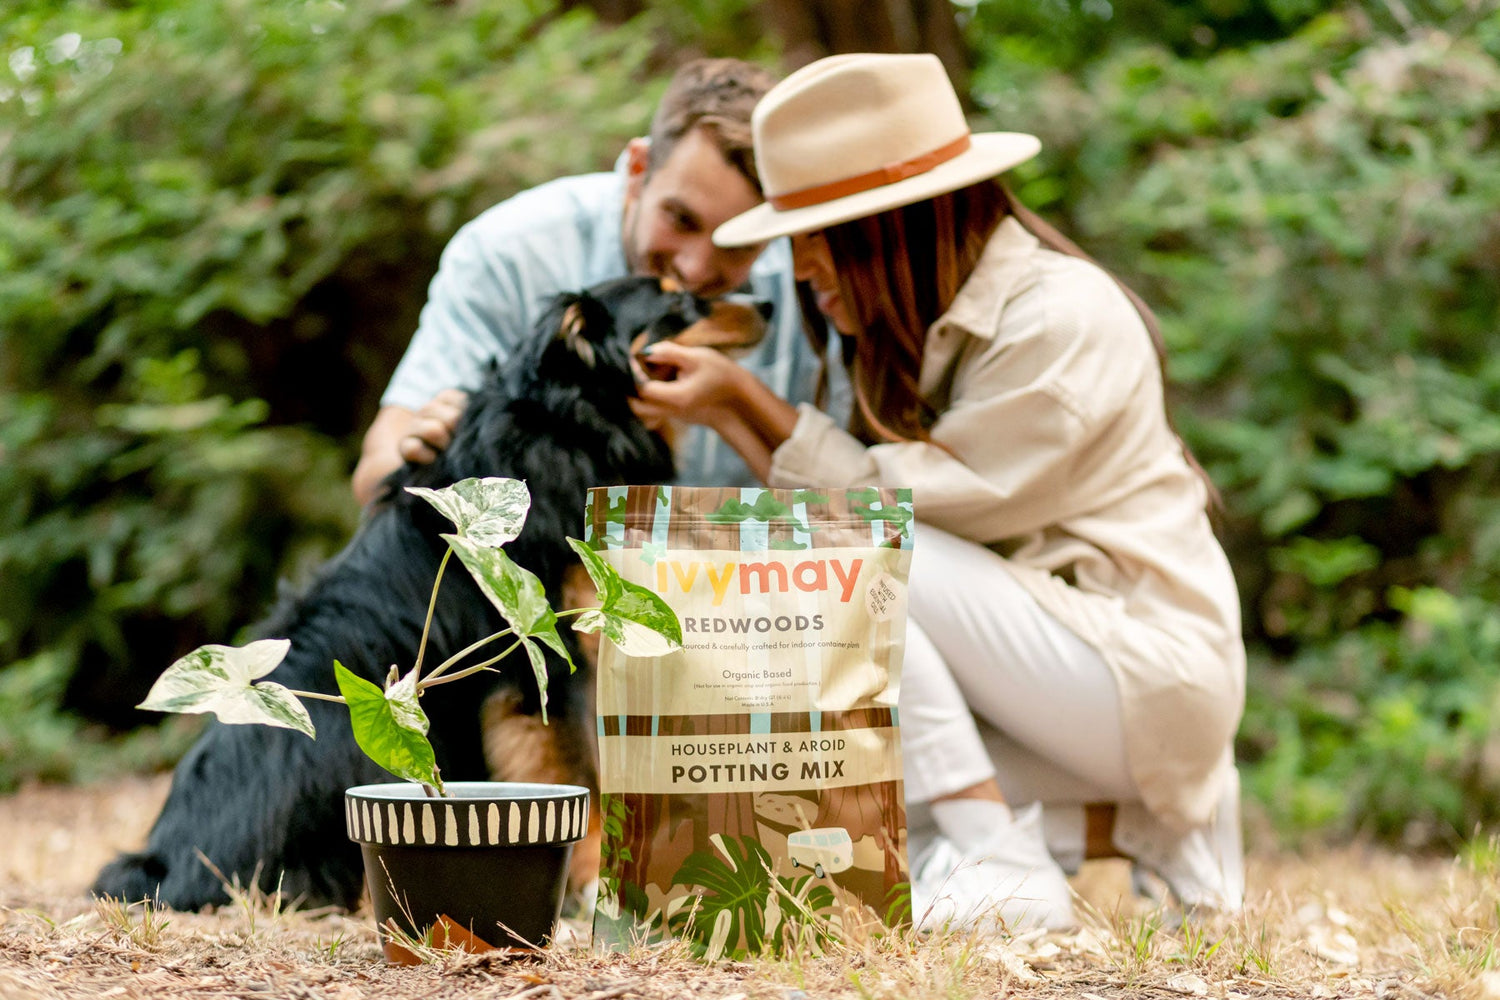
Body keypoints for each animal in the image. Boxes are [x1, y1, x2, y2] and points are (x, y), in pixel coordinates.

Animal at [92, 277, 768, 911]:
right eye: (677, 301)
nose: (767, 302)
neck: (573, 420)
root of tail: (163, 862)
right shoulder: (543, 655)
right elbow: (582, 773)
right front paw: (595, 879)